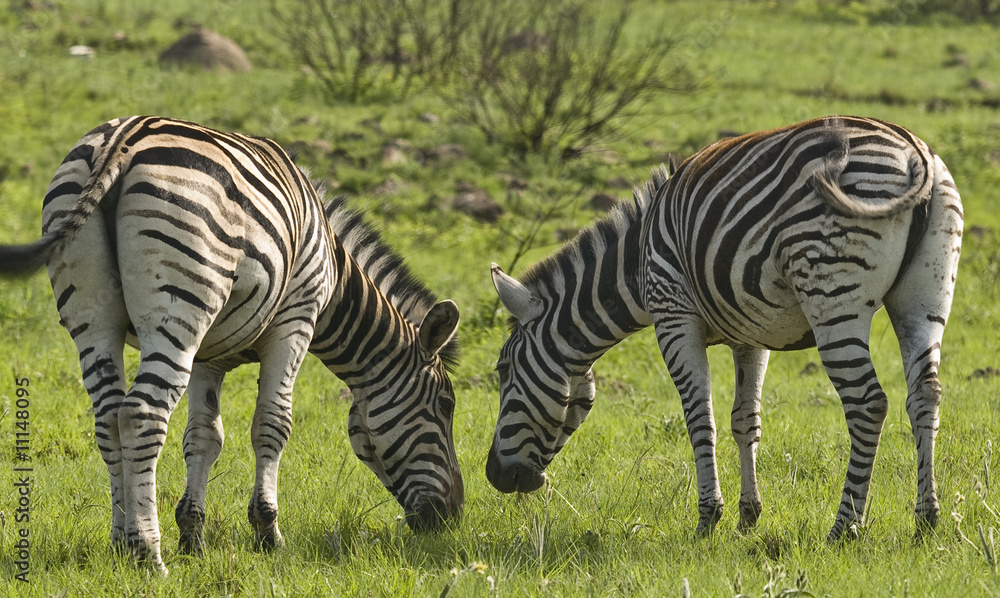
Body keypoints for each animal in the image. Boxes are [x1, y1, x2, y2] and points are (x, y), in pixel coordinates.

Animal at [0, 116, 462, 573]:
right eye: (445, 406)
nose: (452, 516)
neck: (333, 276)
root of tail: (121, 138)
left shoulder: (209, 356)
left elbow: (204, 437)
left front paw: (193, 537)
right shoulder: (295, 322)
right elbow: (272, 425)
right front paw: (268, 532)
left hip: (93, 321)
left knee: (109, 418)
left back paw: (120, 543)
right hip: (180, 309)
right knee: (140, 415)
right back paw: (148, 554)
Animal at [487, 116, 963, 541]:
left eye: (503, 371)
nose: (493, 475)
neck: (636, 265)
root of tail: (912, 151)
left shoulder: (673, 317)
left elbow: (700, 418)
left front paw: (708, 519)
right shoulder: (752, 333)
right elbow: (744, 420)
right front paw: (748, 517)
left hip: (832, 293)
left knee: (867, 403)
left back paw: (844, 527)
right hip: (926, 297)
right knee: (925, 395)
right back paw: (926, 520)